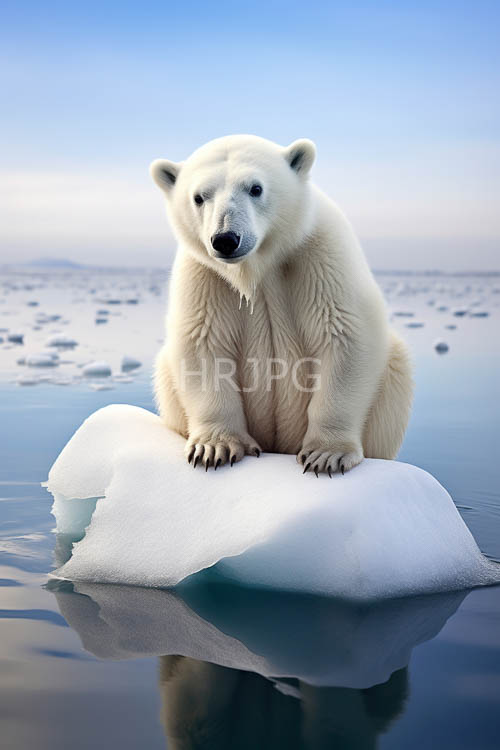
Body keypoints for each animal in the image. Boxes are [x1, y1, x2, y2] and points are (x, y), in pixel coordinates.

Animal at [150, 135, 413, 475]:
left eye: (255, 188)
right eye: (199, 197)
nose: (226, 239)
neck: (258, 267)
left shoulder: (321, 255)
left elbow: (344, 335)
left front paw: (326, 454)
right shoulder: (205, 275)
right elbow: (202, 342)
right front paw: (214, 448)